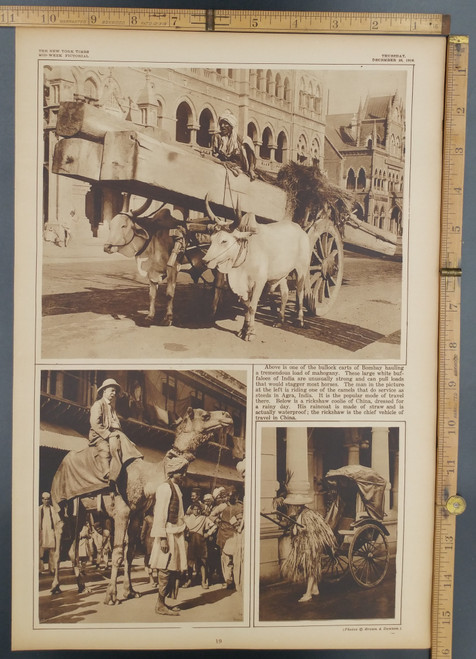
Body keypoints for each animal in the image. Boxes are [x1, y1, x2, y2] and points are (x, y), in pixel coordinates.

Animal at [49, 410, 233, 604]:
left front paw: (129, 591)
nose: (227, 415)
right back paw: (56, 586)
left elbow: (129, 553)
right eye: (205, 415)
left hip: (81, 512)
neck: (147, 478)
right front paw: (111, 596)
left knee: (73, 548)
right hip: (58, 503)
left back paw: (82, 587)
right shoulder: (122, 512)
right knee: (59, 540)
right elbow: (118, 553)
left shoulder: (137, 514)